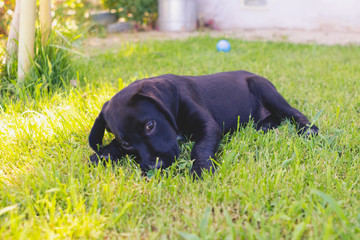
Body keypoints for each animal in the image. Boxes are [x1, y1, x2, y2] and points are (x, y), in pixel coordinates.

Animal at [89, 71, 318, 176]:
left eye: (150, 126)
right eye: (127, 144)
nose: (156, 167)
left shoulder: (207, 126)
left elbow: (199, 147)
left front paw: (200, 169)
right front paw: (103, 153)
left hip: (265, 90)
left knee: (292, 113)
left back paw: (309, 130)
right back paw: (263, 126)